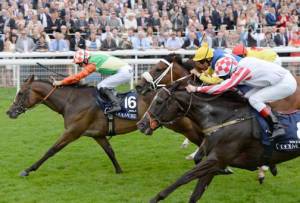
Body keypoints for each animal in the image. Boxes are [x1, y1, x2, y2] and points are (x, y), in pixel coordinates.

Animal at [5, 57, 202, 178]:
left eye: (20, 93)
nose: (9, 112)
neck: (71, 101)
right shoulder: (97, 134)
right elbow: (110, 151)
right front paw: (119, 171)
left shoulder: (72, 131)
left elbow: (51, 150)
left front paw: (28, 170)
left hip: (181, 124)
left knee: (201, 139)